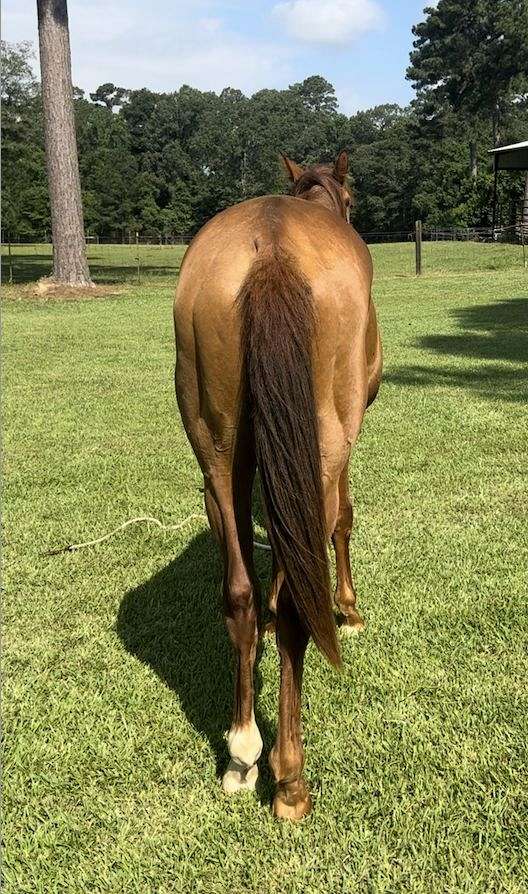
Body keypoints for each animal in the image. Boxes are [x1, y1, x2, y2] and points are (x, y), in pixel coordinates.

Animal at [173, 150, 382, 819]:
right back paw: (289, 780)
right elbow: (342, 521)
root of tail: (270, 252)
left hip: (218, 458)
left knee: (237, 593)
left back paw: (242, 753)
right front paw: (348, 608)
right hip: (325, 446)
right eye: (354, 198)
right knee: (296, 603)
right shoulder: (340, 448)